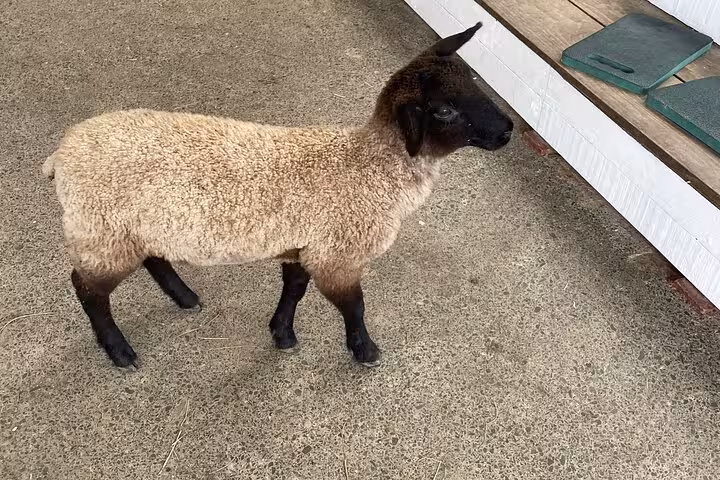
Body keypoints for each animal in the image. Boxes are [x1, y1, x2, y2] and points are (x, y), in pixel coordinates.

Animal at [43, 22, 513, 369]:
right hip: (101, 231)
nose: (508, 130)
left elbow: (295, 291)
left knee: (152, 258)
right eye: (444, 110)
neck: (370, 167)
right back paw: (121, 351)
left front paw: (282, 333)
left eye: (473, 78)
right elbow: (355, 307)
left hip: (135, 226)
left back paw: (186, 297)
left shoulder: (301, 244)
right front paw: (364, 350)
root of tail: (61, 153)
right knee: (86, 289)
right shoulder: (338, 256)